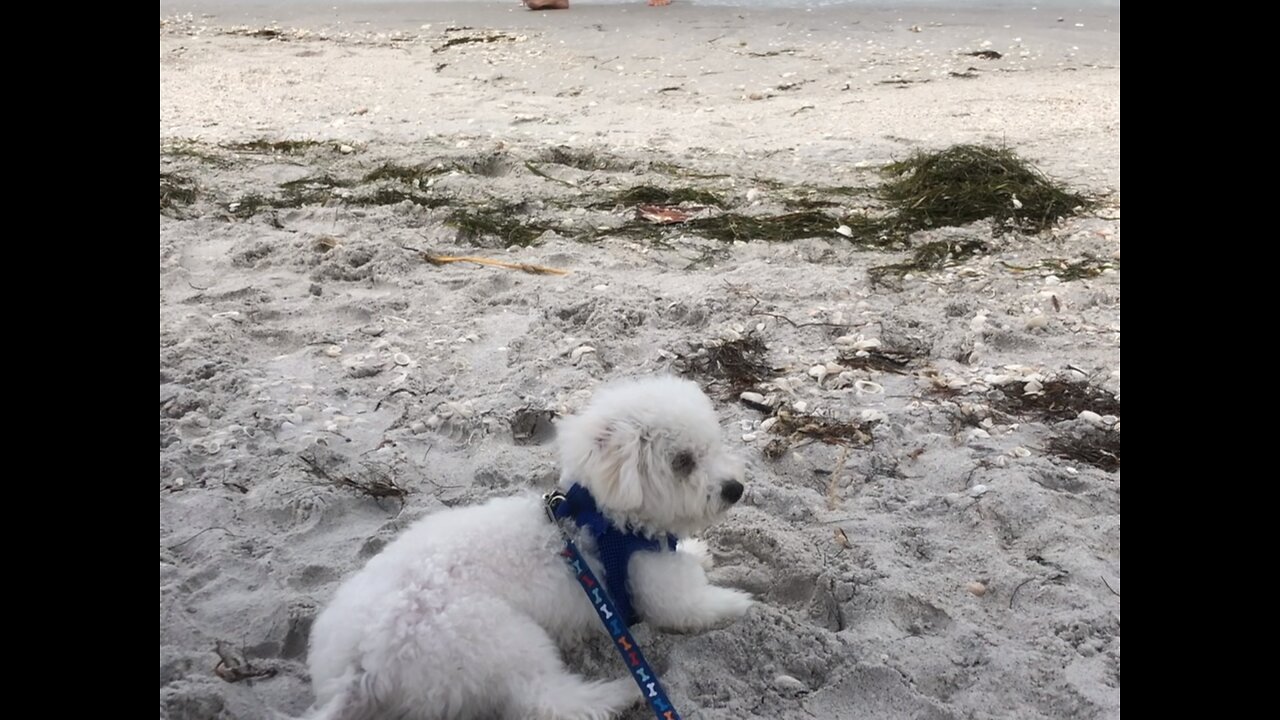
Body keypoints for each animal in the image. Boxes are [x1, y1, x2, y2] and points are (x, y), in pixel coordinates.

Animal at [304, 376, 752, 717]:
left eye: (713, 446)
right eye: (683, 462)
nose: (736, 489)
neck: (601, 520)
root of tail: (362, 668)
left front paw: (698, 551)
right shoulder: (661, 591)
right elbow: (700, 608)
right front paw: (744, 602)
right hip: (500, 638)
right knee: (548, 701)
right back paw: (619, 693)